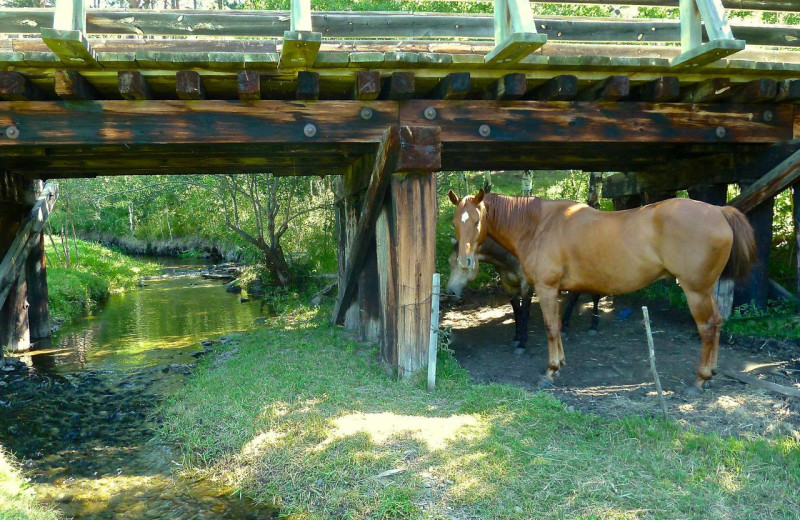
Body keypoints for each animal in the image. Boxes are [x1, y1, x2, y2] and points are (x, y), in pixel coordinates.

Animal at [444, 237, 600, 354]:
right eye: (449, 262)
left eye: (466, 262)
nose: (450, 293)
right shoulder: (509, 286)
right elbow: (517, 312)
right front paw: (516, 338)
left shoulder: (527, 286)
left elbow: (524, 312)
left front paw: (522, 343)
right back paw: (565, 326)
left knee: (594, 296)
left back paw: (593, 326)